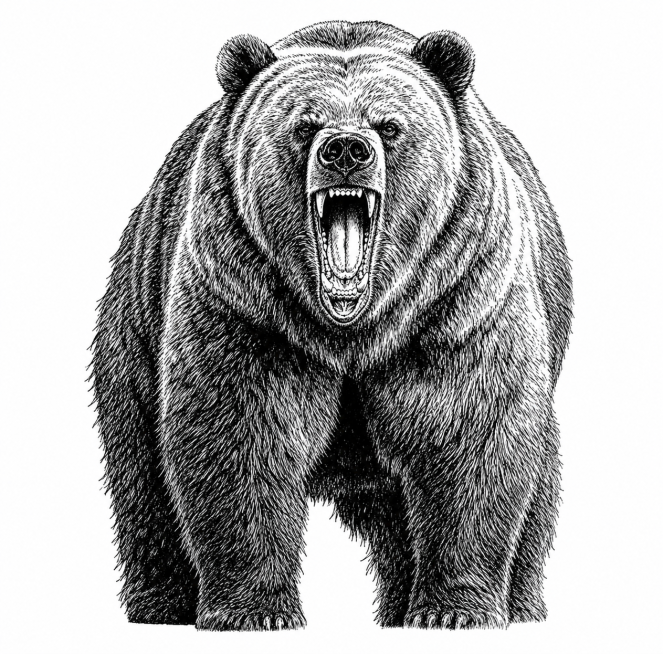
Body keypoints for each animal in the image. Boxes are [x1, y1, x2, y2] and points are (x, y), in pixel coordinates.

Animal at [92, 20, 572, 631]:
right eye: (304, 125)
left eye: (389, 125)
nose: (346, 150)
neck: (351, 324)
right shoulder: (247, 301)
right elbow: (239, 432)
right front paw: (254, 611)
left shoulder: (458, 297)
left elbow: (468, 431)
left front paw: (454, 610)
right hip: (134, 325)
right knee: (142, 472)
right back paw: (162, 603)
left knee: (535, 483)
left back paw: (515, 604)